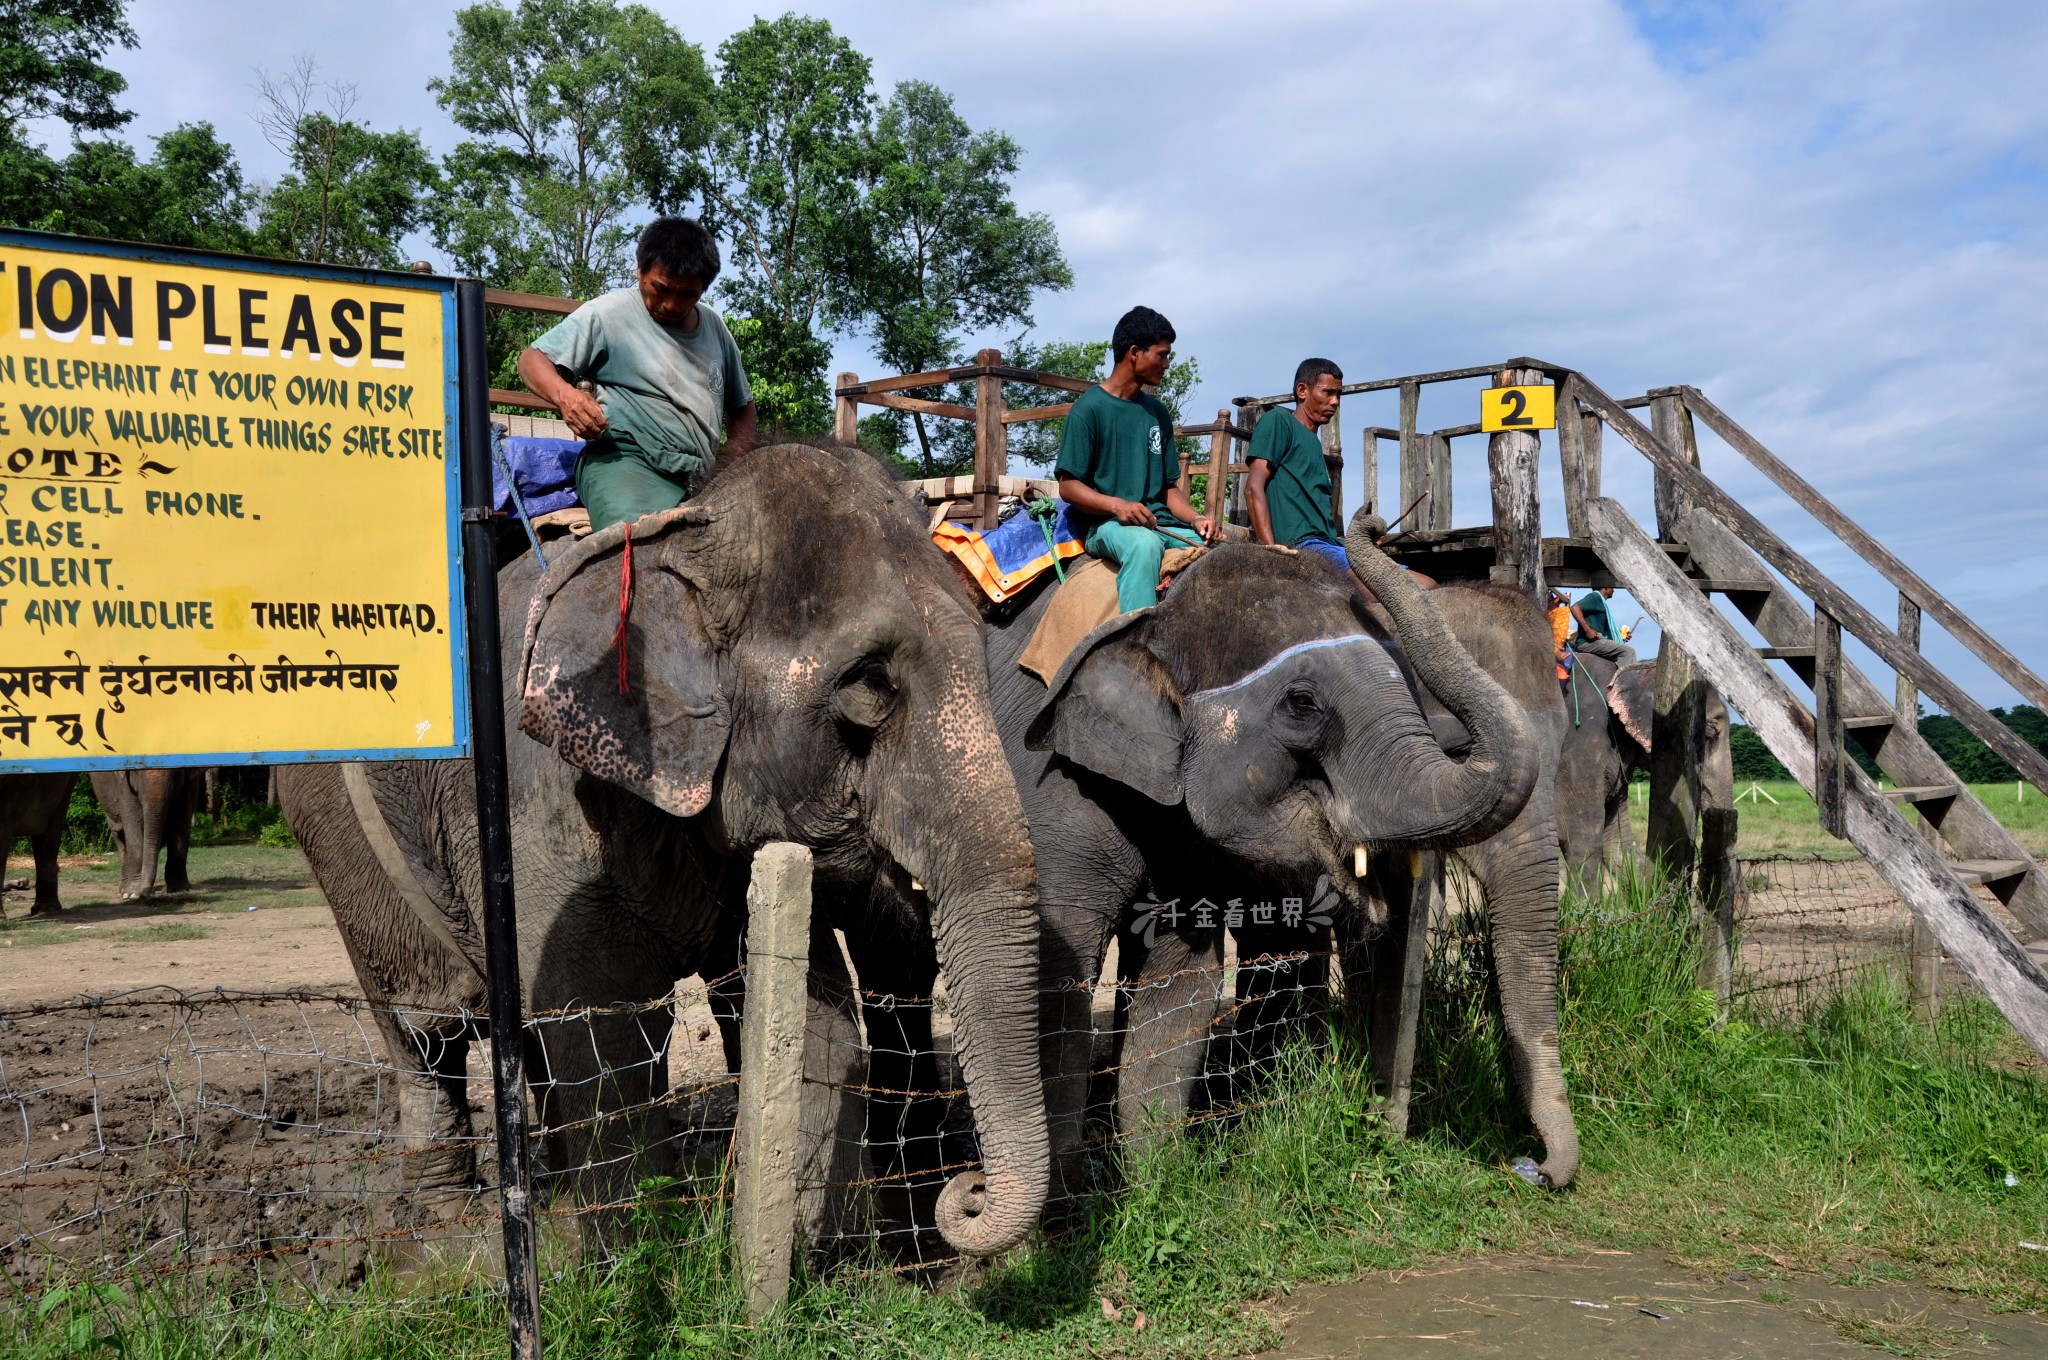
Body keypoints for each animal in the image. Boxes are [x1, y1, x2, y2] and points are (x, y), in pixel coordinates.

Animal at [280, 440, 1048, 1261]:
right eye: (869, 683)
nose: (965, 1193)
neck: (683, 534)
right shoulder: (553, 805)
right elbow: (606, 1032)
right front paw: (631, 1257)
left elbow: (818, 1020)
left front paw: (809, 1257)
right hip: (338, 837)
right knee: (428, 1031)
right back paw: (441, 1230)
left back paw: (549, 1194)